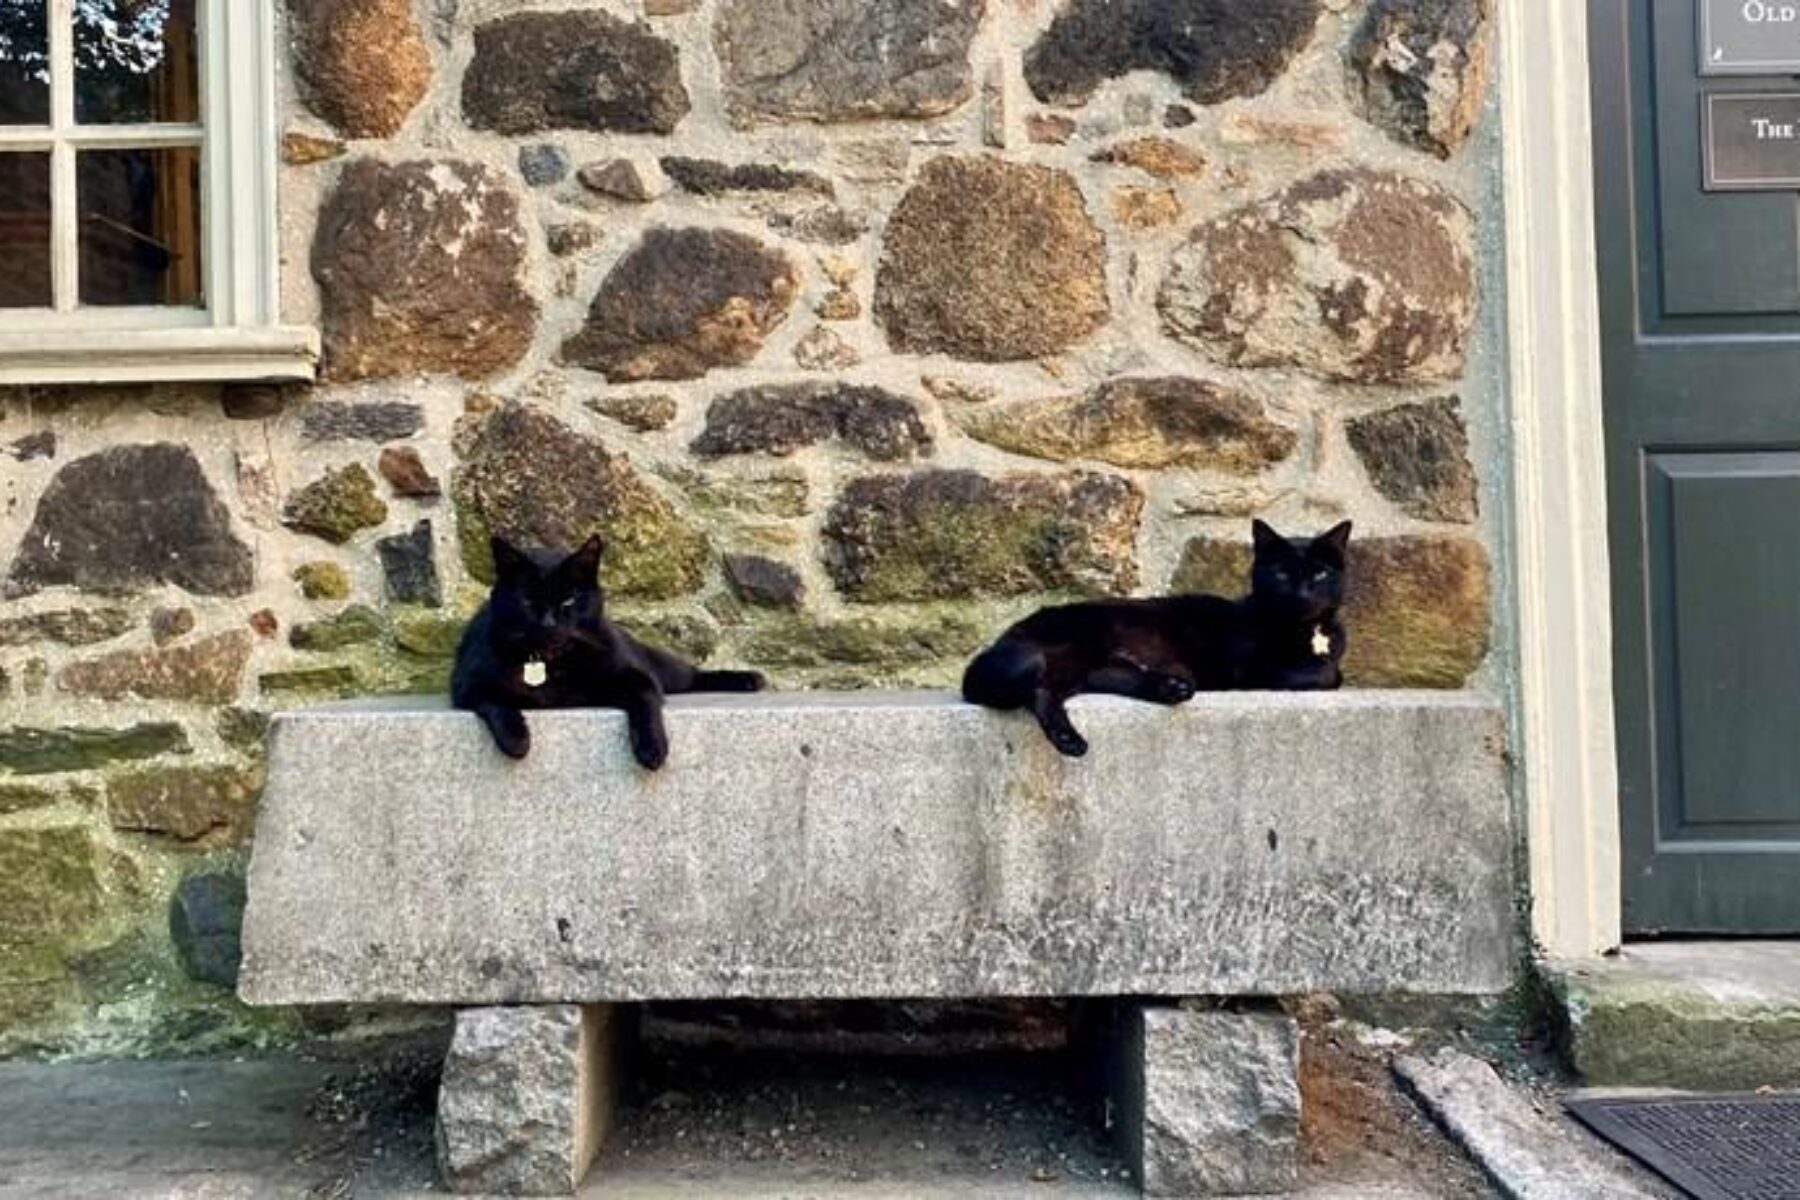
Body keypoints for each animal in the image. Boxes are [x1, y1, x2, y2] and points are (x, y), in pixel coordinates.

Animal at [453, 536, 763, 766]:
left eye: (568, 600)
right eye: (527, 601)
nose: (549, 623)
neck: (550, 665)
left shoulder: (633, 674)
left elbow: (645, 699)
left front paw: (652, 747)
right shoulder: (468, 683)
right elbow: (497, 700)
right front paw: (517, 739)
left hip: (659, 665)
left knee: (690, 675)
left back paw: (750, 680)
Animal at [964, 518, 1346, 759]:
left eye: (1319, 574)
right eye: (1281, 574)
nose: (1301, 594)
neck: (1309, 631)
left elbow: (1331, 668)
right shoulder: (1251, 669)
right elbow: (1326, 673)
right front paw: (1326, 670)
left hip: (1087, 667)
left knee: (1059, 689)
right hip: (1070, 650)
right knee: (1041, 689)